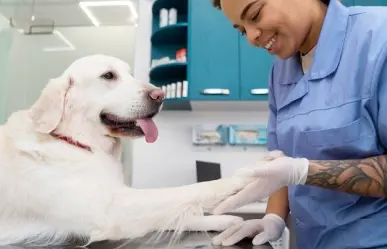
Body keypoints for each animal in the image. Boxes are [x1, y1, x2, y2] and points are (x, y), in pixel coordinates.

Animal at [0, 54, 255, 247]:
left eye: (131, 74)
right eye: (108, 75)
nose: (160, 95)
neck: (79, 143)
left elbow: (177, 213)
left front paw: (225, 220)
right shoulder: (110, 211)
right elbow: (185, 192)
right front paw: (240, 179)